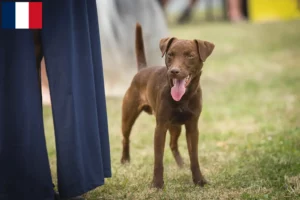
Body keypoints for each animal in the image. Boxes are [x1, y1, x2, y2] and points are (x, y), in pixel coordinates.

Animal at [120, 22, 214, 188]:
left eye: (190, 56)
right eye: (170, 54)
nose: (174, 71)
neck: (183, 97)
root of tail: (142, 69)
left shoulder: (192, 127)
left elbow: (194, 157)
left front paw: (199, 180)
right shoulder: (161, 127)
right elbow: (158, 159)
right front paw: (157, 184)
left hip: (176, 126)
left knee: (173, 144)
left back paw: (181, 164)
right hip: (128, 115)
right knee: (126, 137)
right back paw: (125, 160)